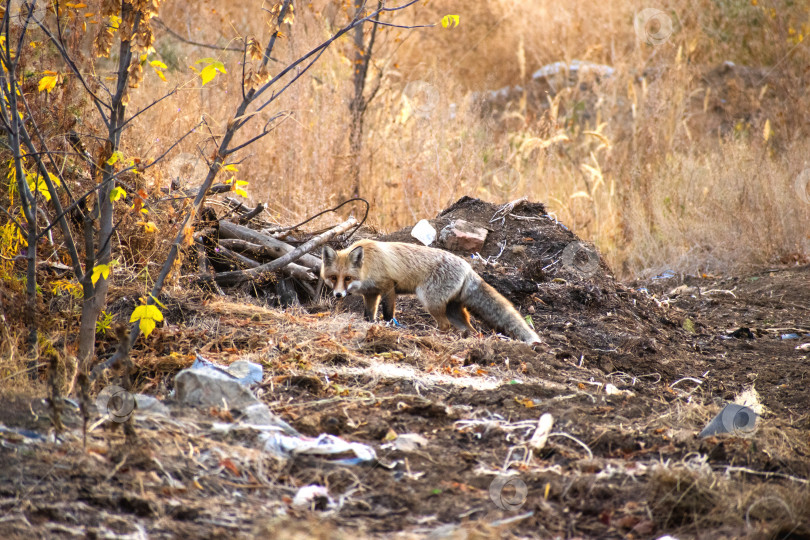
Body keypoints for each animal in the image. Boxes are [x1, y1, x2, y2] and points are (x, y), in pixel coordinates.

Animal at [318, 239, 540, 344]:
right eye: (333, 278)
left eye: (347, 278)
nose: (338, 295)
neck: (368, 265)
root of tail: (467, 267)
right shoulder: (370, 294)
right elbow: (368, 315)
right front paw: (370, 326)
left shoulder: (389, 287)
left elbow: (388, 313)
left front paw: (388, 327)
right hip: (453, 310)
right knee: (472, 330)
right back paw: (467, 339)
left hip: (430, 301)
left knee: (445, 326)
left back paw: (432, 335)